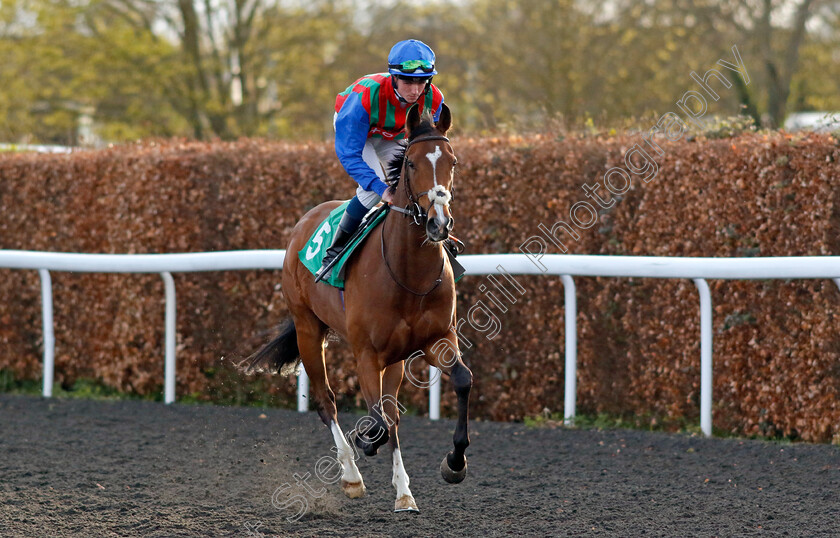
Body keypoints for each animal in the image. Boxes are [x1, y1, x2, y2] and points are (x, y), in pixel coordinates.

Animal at [249, 103, 472, 510]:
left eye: (453, 161)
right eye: (411, 163)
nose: (439, 223)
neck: (408, 275)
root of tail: (305, 221)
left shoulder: (437, 339)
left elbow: (461, 381)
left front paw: (454, 463)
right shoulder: (367, 353)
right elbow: (377, 420)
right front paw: (366, 443)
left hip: (396, 358)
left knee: (391, 412)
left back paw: (404, 493)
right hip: (308, 329)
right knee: (327, 402)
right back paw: (352, 476)